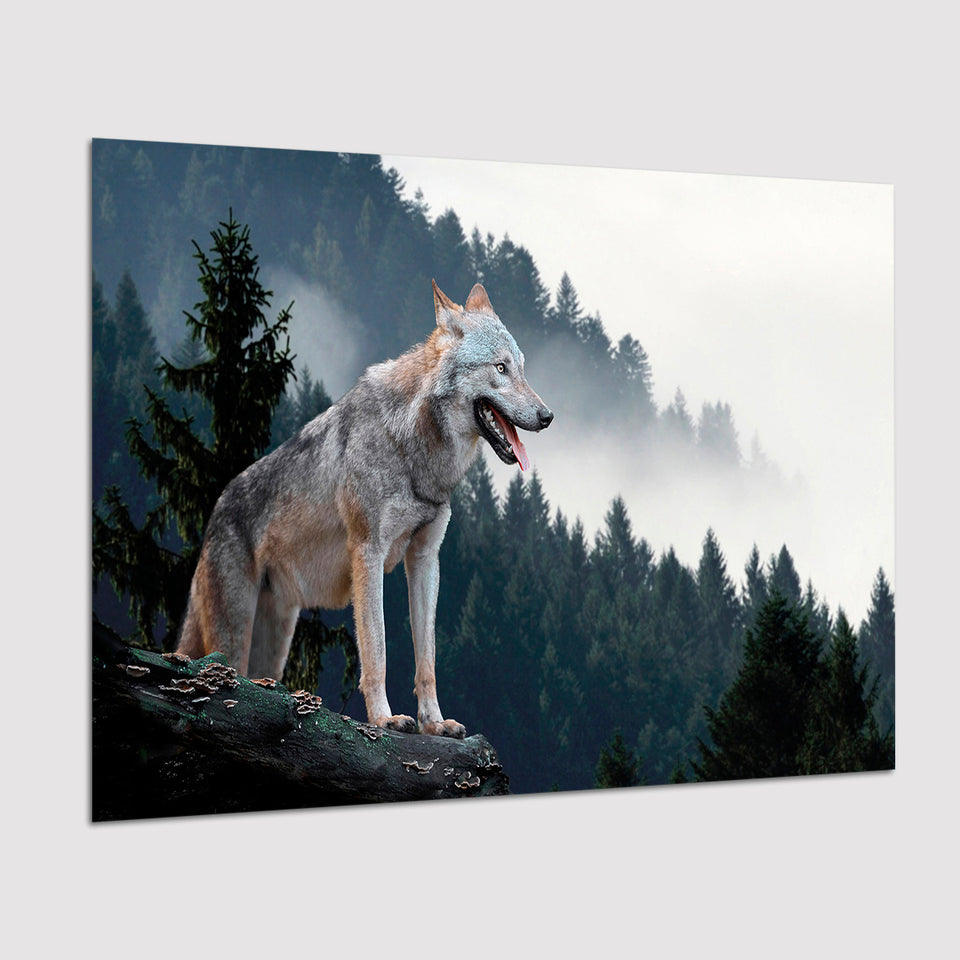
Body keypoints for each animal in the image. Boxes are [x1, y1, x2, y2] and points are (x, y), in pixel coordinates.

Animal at [177, 280, 553, 737]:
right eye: (500, 368)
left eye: (522, 369)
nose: (548, 416)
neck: (413, 448)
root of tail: (215, 511)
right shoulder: (368, 553)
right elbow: (377, 649)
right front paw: (384, 718)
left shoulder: (425, 559)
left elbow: (426, 659)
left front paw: (434, 723)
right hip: (233, 637)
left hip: (274, 644)